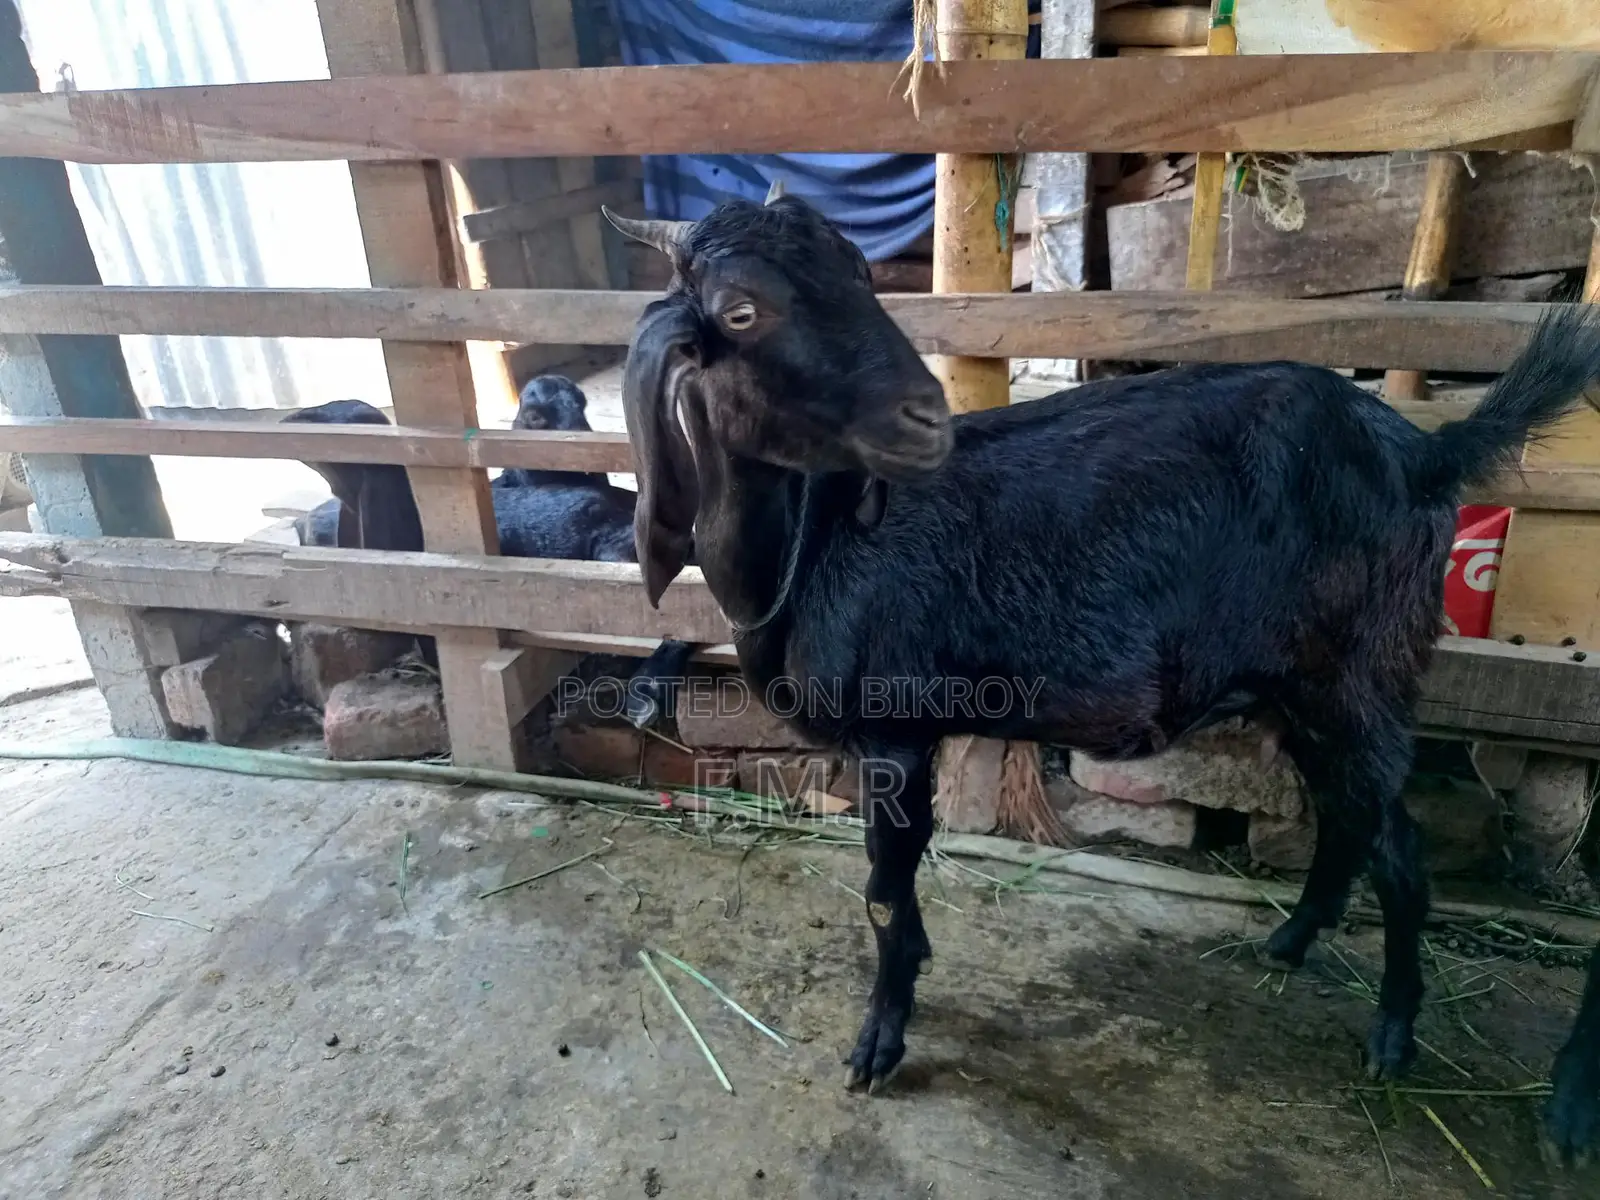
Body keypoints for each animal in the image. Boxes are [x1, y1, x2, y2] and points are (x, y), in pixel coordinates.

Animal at [603, 190, 1600, 1095]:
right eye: (740, 310)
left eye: (859, 274)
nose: (924, 417)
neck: (811, 540)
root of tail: (1424, 452)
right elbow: (903, 888)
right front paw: (914, 975)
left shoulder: (894, 734)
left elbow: (884, 894)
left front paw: (879, 1043)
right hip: (1302, 688)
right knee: (1349, 821)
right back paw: (1289, 942)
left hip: (1358, 676)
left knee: (1398, 850)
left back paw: (1392, 1036)